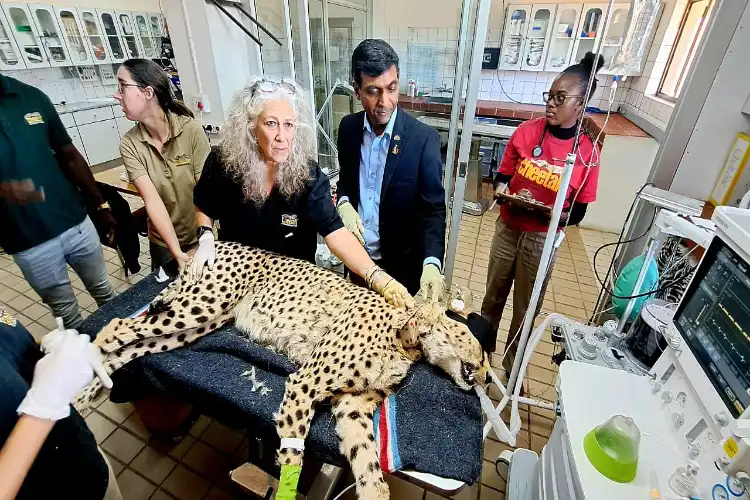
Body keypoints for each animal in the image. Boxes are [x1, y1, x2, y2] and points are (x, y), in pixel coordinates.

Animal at [73, 240, 490, 498]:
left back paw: (84, 395)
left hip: (195, 326)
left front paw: (374, 492)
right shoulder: (305, 382)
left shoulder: (352, 406)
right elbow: (293, 456)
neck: (408, 339)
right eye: (483, 353)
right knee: (117, 327)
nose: (486, 377)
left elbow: (368, 465)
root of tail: (219, 242)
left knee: (133, 346)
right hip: (198, 307)